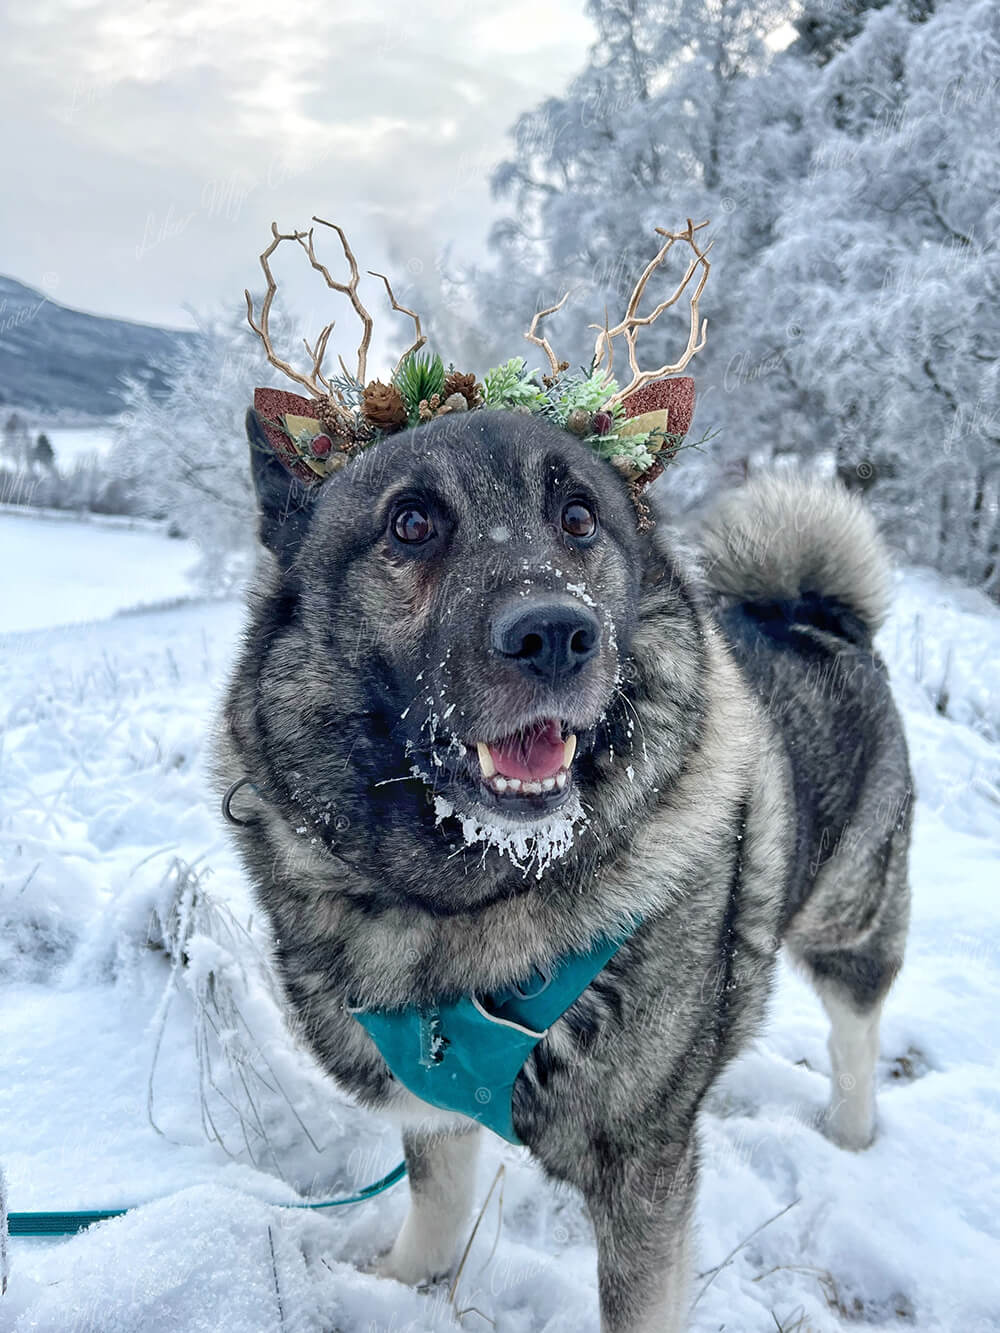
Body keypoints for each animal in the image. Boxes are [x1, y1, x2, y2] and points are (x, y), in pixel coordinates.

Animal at [216, 407, 912, 1333]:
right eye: (411, 522)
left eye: (579, 517)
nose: (553, 635)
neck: (471, 902)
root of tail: (816, 614)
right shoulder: (437, 1097)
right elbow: (437, 1205)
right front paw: (398, 1282)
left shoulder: (642, 1172)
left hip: (849, 915)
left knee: (855, 1028)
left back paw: (851, 1130)